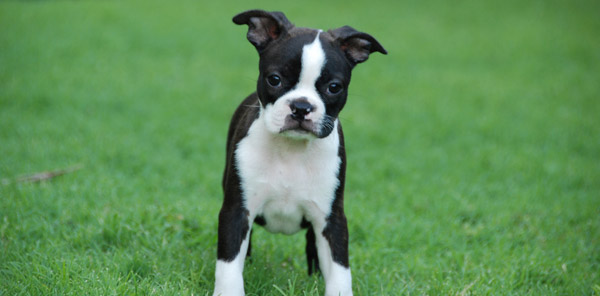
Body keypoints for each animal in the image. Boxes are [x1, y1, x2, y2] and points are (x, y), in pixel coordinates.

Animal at [213, 9, 386, 296]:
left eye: (334, 87)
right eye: (274, 79)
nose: (301, 107)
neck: (291, 150)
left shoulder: (331, 220)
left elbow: (340, 270)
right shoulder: (236, 212)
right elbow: (229, 266)